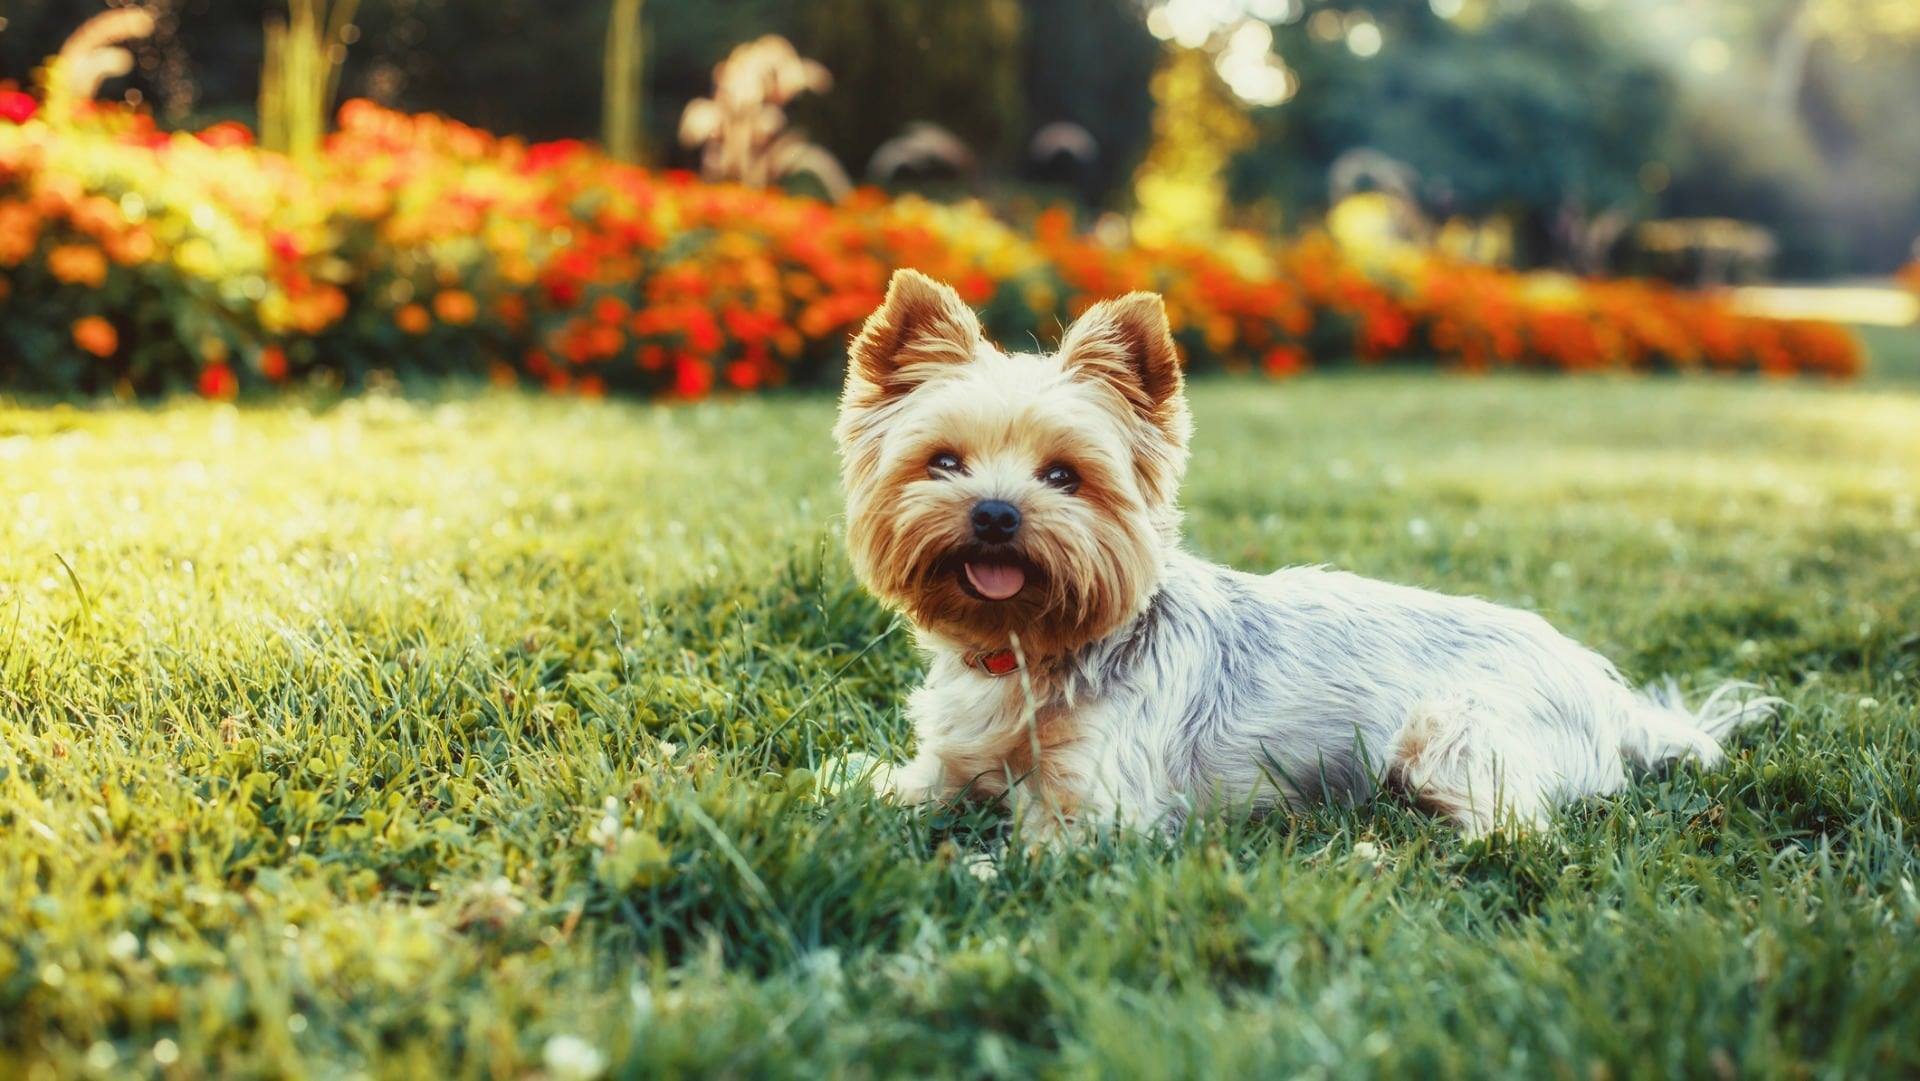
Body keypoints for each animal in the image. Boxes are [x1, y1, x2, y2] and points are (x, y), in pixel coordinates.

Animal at [833, 272, 1774, 844]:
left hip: (1450, 733)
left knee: (1515, 828)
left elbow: (1026, 845)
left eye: (1064, 475)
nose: (995, 513)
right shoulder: (943, 764)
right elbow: (889, 786)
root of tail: (1612, 695)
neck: (1027, 648)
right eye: (943, 462)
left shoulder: (1098, 806)